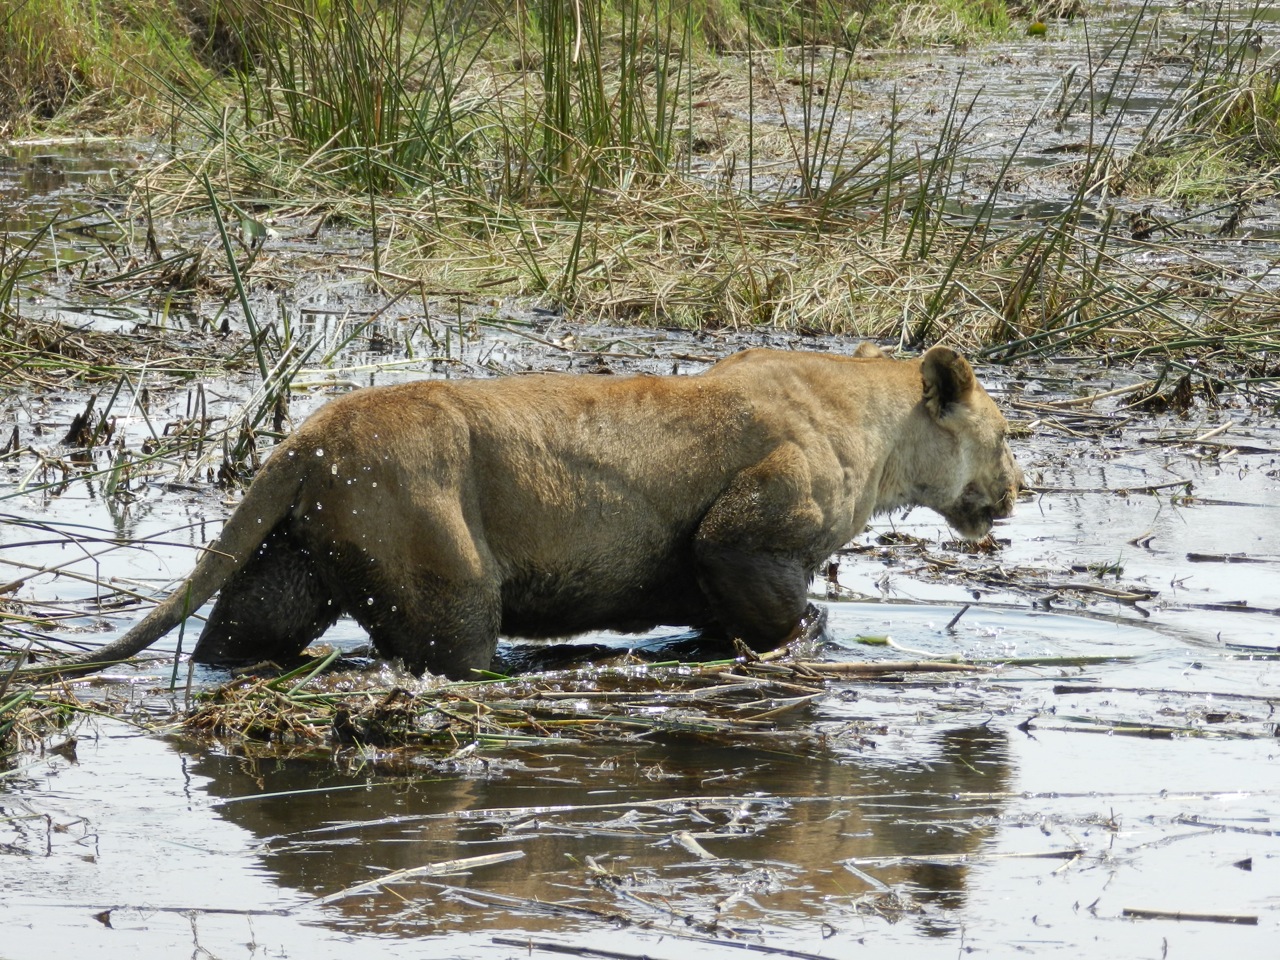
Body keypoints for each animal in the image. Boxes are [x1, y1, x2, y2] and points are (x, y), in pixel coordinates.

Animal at [22, 344, 1020, 680]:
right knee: (452, 650)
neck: (879, 442)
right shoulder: (746, 533)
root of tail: (302, 439)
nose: (1018, 491)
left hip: (297, 559)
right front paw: (807, 642)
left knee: (230, 635)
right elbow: (785, 607)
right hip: (445, 567)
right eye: (1009, 435)